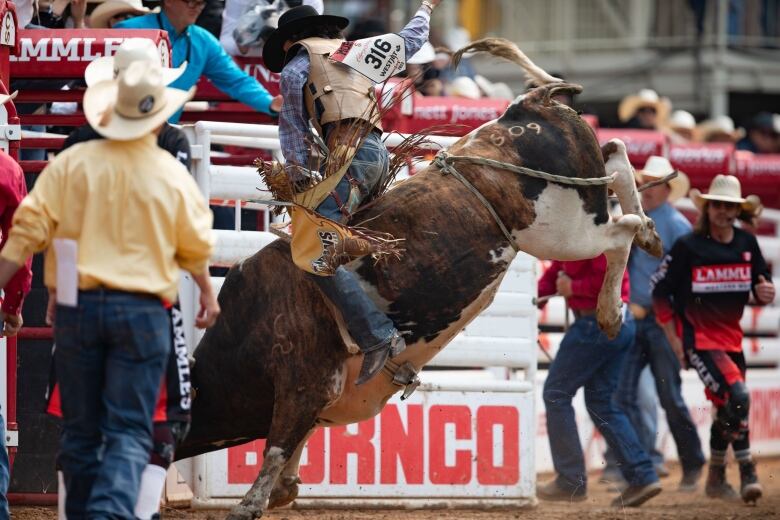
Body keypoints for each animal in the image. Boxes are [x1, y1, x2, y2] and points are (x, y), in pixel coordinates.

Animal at [174, 40, 660, 520]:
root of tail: (526, 105)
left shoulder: (302, 381)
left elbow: (278, 444)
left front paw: (250, 502)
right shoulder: (322, 396)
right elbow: (297, 441)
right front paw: (284, 490)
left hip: (562, 231)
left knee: (621, 230)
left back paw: (612, 309)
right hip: (580, 191)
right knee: (617, 156)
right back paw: (651, 236)